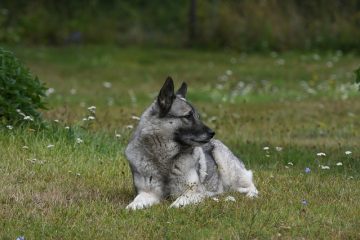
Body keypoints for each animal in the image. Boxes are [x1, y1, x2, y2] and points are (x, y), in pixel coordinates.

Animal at [125, 77, 258, 210]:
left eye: (197, 116)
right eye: (188, 116)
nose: (212, 133)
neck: (165, 158)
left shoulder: (192, 192)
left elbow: (177, 203)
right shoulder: (148, 193)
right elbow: (136, 202)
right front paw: (131, 207)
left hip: (227, 168)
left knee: (250, 186)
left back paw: (249, 195)